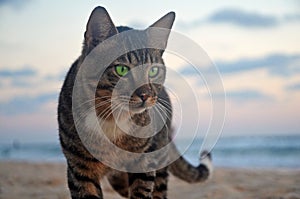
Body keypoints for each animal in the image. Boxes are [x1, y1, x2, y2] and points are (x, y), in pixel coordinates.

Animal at [58, 6, 212, 199]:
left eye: (153, 71)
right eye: (121, 69)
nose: (145, 95)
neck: (111, 119)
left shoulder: (145, 162)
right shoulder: (79, 168)